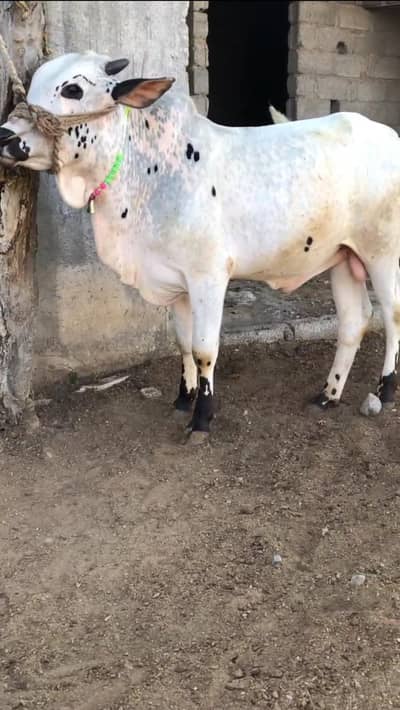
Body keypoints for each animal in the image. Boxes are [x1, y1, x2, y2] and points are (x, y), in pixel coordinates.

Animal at [1, 51, 400, 443]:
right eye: (30, 86)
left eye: (73, 89)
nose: (5, 136)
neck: (148, 170)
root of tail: (386, 135)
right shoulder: (176, 282)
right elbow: (183, 343)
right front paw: (184, 397)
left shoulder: (208, 277)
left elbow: (204, 349)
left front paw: (202, 418)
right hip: (343, 257)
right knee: (354, 321)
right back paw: (329, 394)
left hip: (382, 254)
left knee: (392, 315)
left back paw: (384, 390)